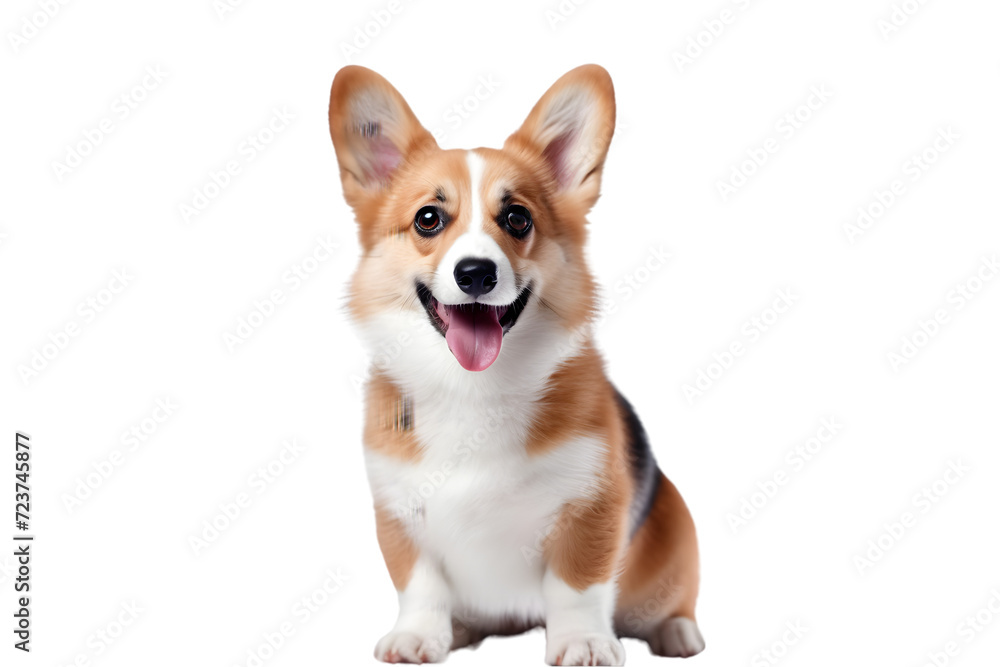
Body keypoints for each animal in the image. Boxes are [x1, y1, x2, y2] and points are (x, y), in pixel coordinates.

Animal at [330, 64, 704, 667]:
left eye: (517, 218)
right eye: (428, 219)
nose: (476, 273)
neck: (473, 390)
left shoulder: (593, 504)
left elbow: (576, 586)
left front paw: (583, 643)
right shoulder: (398, 510)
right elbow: (419, 583)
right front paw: (418, 636)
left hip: (673, 538)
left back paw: (677, 632)